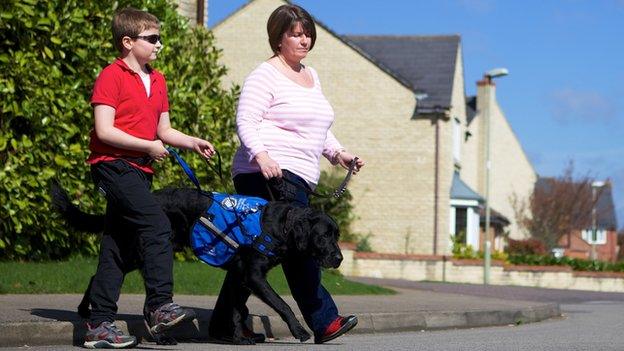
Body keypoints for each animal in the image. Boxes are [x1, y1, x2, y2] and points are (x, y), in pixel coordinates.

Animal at [52, 186, 346, 346]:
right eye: (323, 236)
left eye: (337, 235)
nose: (339, 258)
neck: (280, 225)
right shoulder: (254, 275)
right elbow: (283, 304)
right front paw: (300, 331)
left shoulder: (240, 277)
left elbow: (236, 311)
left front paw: (239, 338)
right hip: (148, 252)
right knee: (142, 300)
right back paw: (160, 338)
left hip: (137, 254)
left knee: (98, 275)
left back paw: (85, 309)